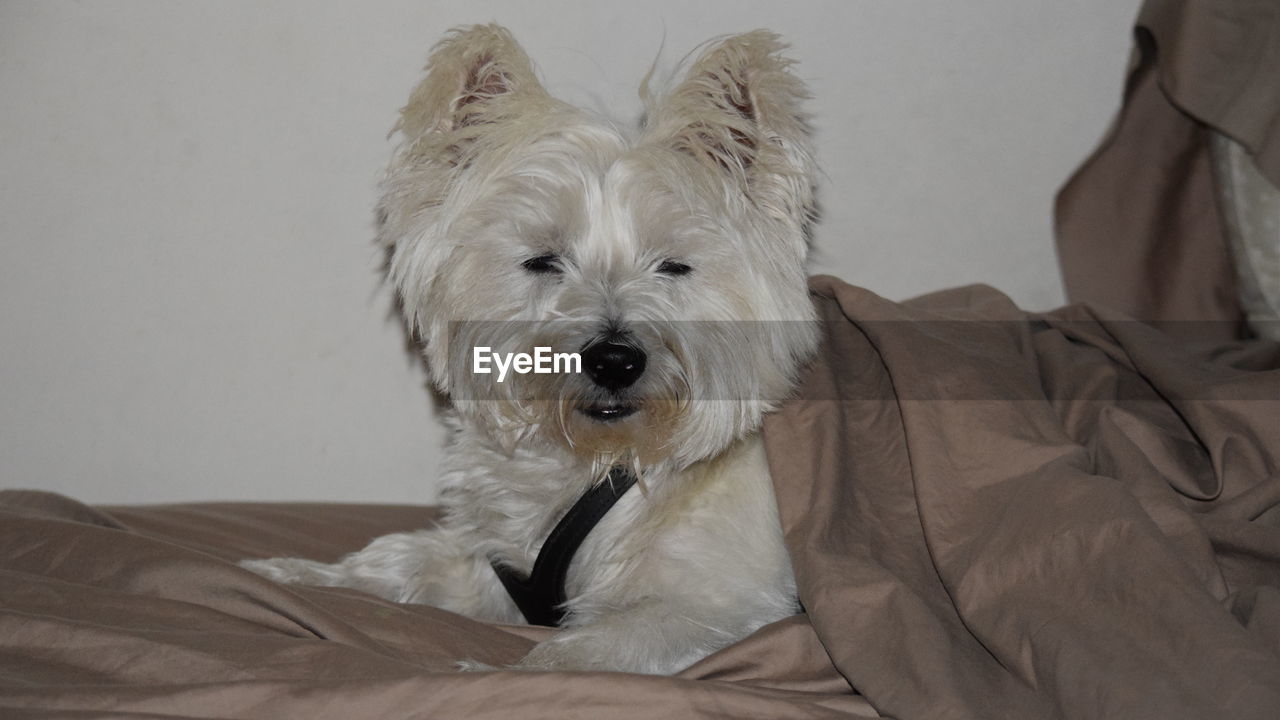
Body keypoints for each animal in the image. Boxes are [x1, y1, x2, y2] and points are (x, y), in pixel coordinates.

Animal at [244, 23, 814, 671]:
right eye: (542, 261)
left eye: (673, 265)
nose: (615, 360)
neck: (600, 461)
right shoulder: (490, 567)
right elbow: (401, 559)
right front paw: (290, 572)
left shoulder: (714, 607)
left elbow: (570, 654)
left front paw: (482, 673)